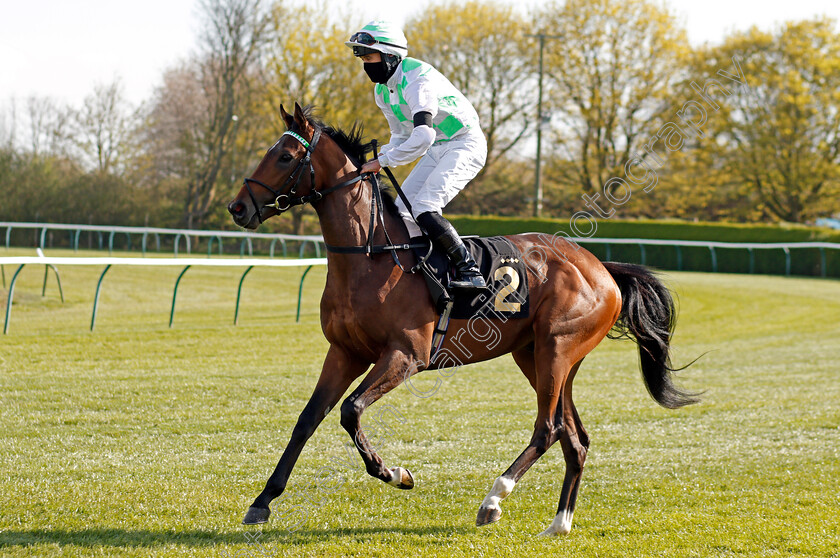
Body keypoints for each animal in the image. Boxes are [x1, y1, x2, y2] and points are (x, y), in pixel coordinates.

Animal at [225, 104, 696, 540]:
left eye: (285, 156)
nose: (237, 207)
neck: (372, 253)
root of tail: (600, 267)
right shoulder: (344, 352)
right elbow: (308, 419)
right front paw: (262, 501)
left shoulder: (406, 356)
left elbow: (351, 410)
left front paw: (396, 474)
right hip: (538, 357)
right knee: (574, 437)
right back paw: (559, 523)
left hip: (557, 350)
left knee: (547, 429)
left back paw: (494, 498)